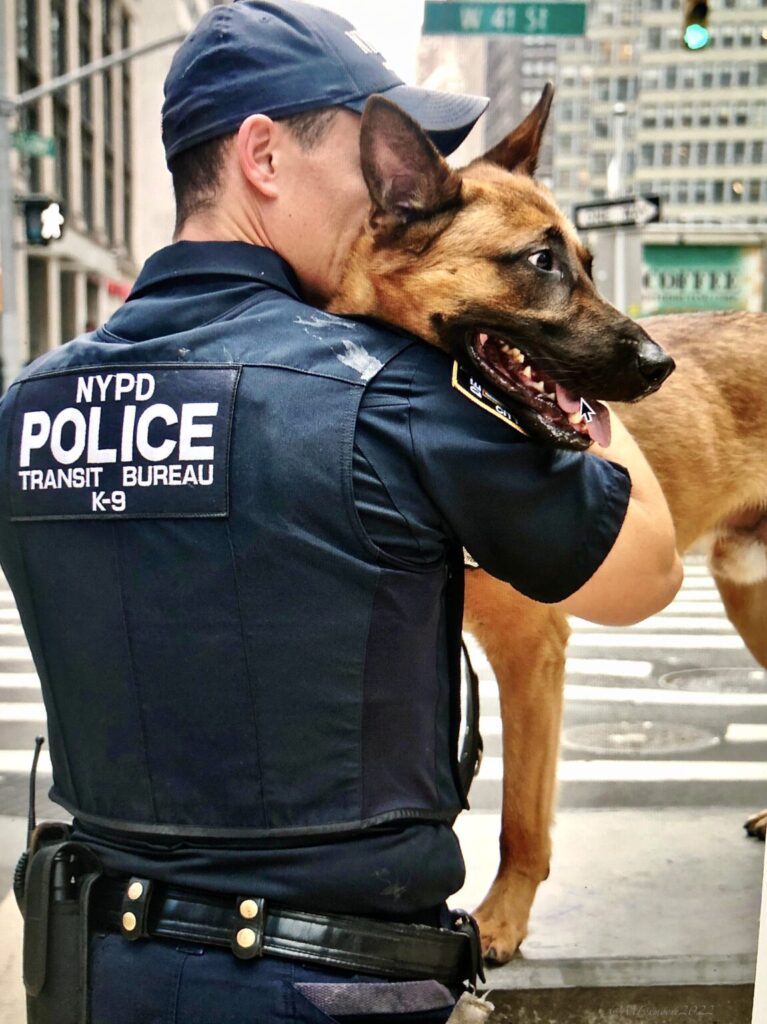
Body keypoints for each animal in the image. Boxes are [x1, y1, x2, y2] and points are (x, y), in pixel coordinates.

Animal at [327, 88, 765, 958]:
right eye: (540, 263)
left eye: (591, 264)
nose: (659, 365)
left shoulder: (532, 651)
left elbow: (521, 821)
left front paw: (500, 921)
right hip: (749, 594)